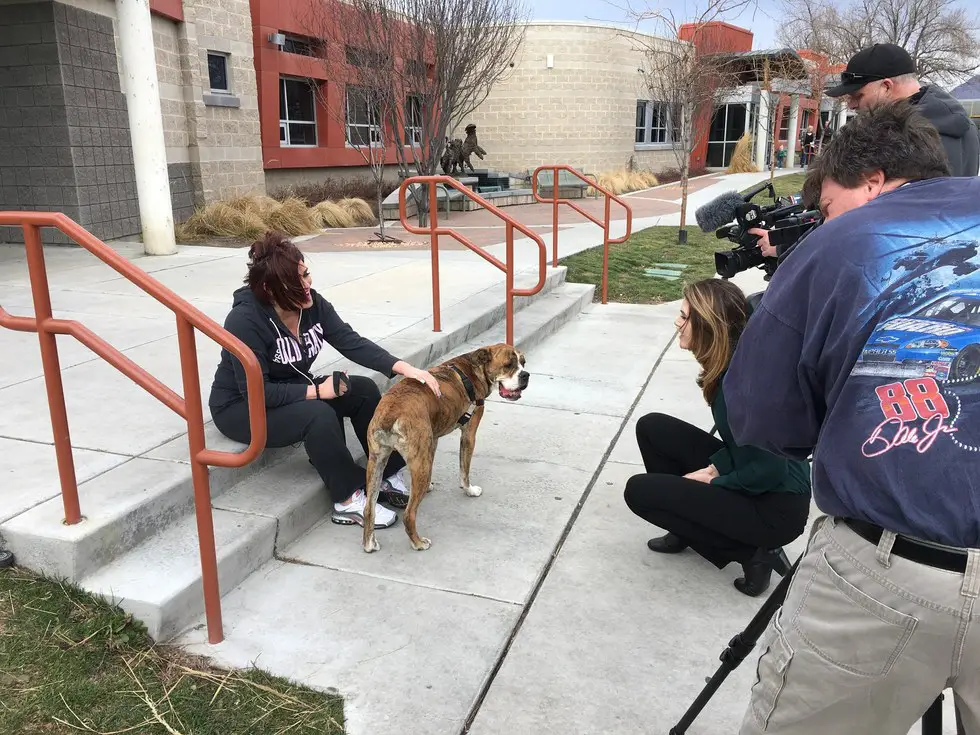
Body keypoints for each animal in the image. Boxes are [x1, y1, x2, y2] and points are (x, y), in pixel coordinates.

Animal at [360, 344, 528, 552]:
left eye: (523, 363)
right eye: (508, 365)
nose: (526, 375)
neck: (473, 369)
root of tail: (391, 412)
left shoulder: (433, 439)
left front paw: (431, 486)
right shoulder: (469, 434)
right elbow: (464, 470)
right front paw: (469, 490)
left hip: (377, 462)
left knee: (369, 508)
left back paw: (369, 543)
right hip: (417, 464)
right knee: (409, 514)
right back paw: (418, 543)